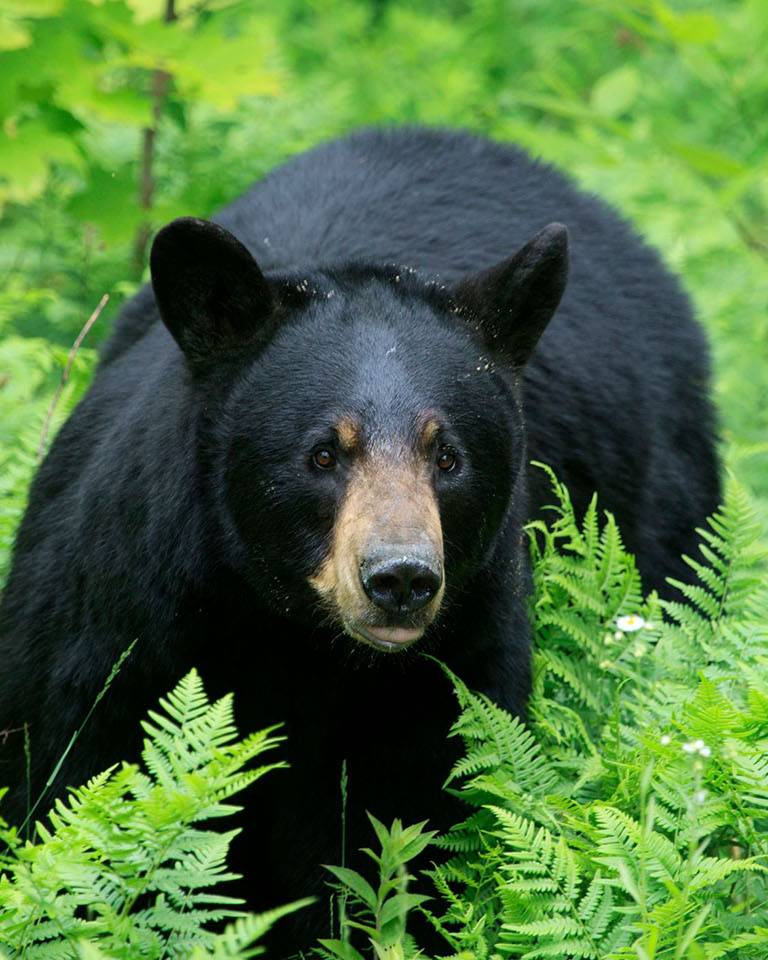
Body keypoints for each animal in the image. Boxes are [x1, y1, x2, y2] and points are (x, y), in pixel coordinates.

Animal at [0, 127, 719, 953]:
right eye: (322, 454)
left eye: (448, 456)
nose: (400, 577)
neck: (295, 643)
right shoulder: (115, 627)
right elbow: (66, 784)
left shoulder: (457, 670)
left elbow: (421, 841)